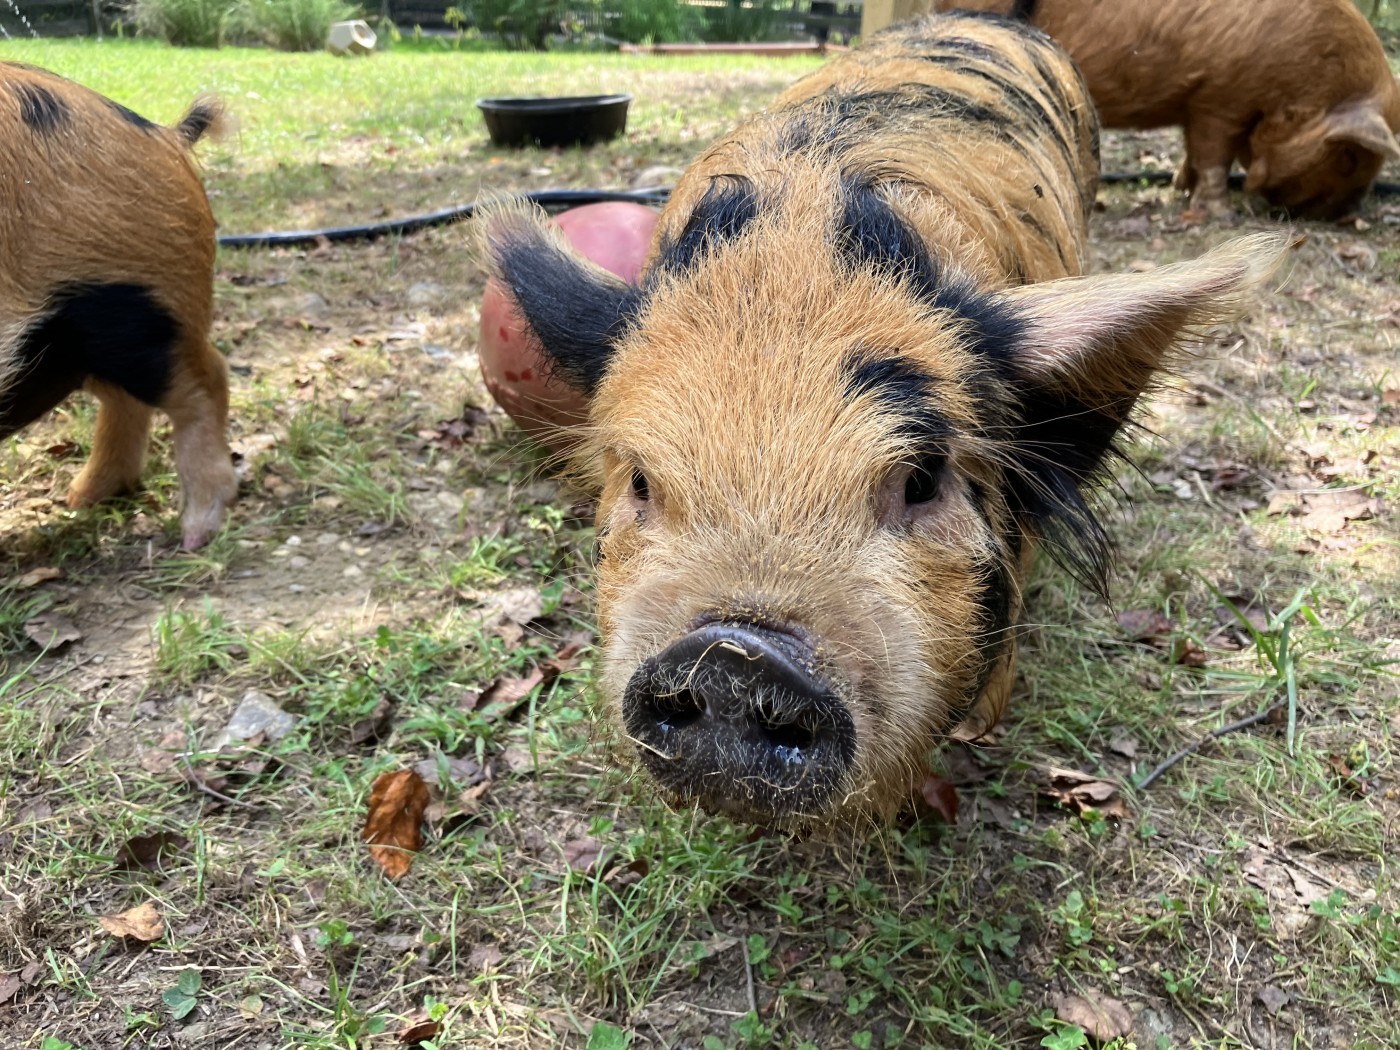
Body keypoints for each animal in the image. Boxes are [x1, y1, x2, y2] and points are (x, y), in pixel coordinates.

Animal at [1, 62, 236, 551]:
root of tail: (166, 135)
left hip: (130, 312)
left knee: (206, 381)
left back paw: (195, 535)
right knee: (128, 402)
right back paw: (79, 499)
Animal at [935, 0, 1400, 219]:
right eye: (1349, 157)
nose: (1344, 214)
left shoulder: (1199, 101)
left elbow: (1194, 149)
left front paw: (1179, 188)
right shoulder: (1222, 97)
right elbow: (1214, 154)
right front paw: (1219, 213)